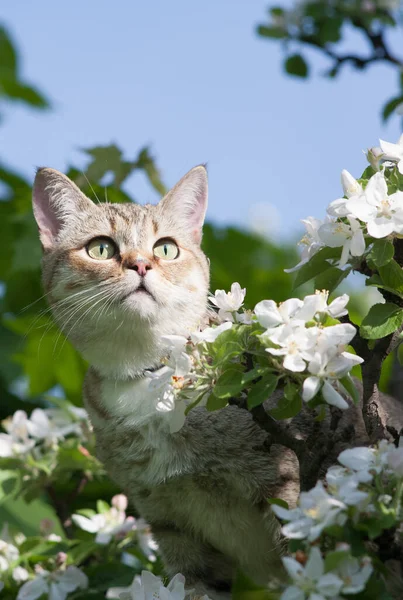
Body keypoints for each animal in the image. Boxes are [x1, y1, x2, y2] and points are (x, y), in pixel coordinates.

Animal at [33, 168, 402, 600]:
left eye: (166, 249)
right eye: (101, 249)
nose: (140, 265)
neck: (150, 380)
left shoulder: (288, 488)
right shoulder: (172, 526)